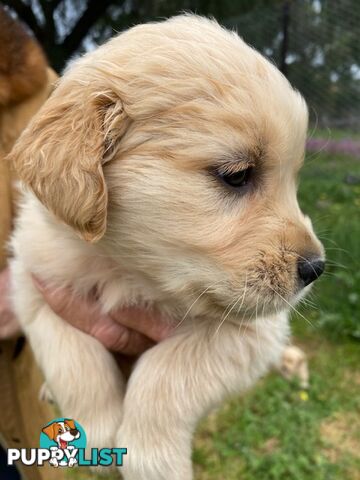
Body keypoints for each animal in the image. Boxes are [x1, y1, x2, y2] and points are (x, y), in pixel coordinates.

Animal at [9, 15, 324, 480]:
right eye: (236, 175)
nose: (316, 268)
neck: (126, 268)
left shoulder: (254, 333)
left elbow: (166, 371)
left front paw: (151, 458)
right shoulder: (36, 286)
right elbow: (73, 357)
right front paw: (95, 433)